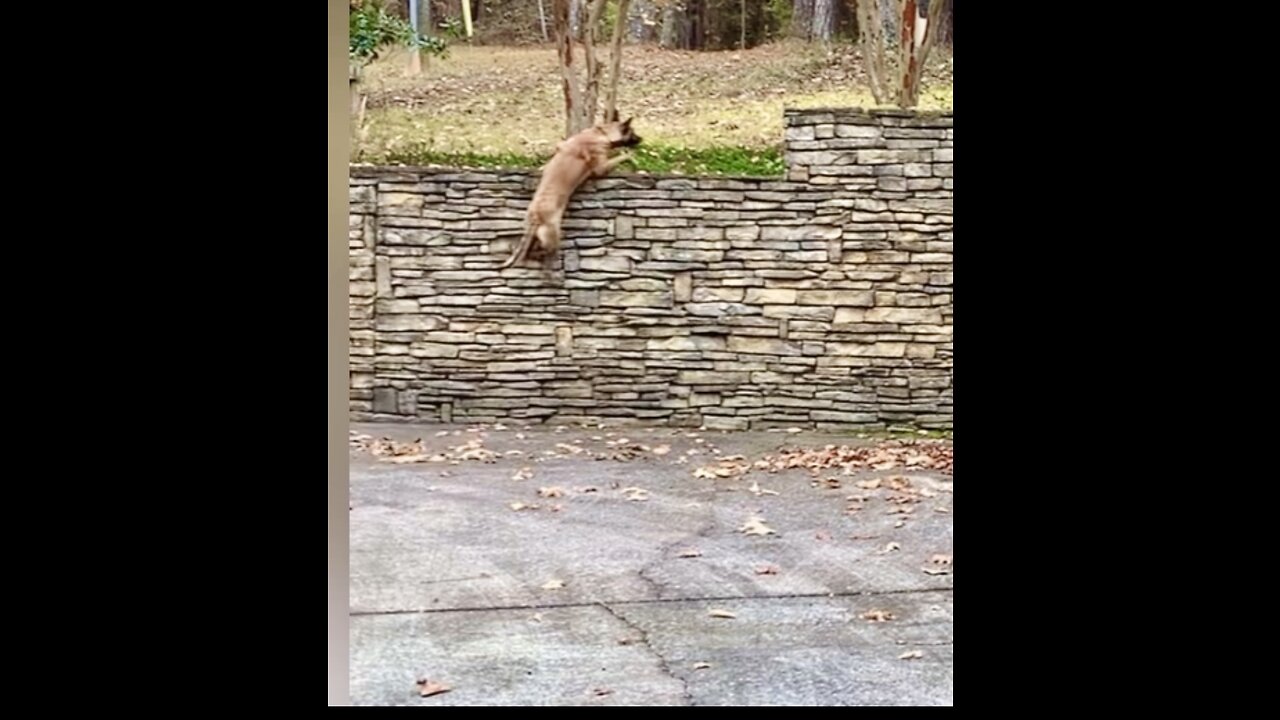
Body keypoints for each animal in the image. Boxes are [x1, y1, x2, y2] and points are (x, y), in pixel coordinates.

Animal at [499, 116, 640, 270]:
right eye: (632, 132)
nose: (642, 139)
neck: (601, 133)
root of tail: (536, 214)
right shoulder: (601, 167)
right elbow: (618, 158)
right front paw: (628, 155)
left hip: (535, 233)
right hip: (552, 236)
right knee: (543, 251)